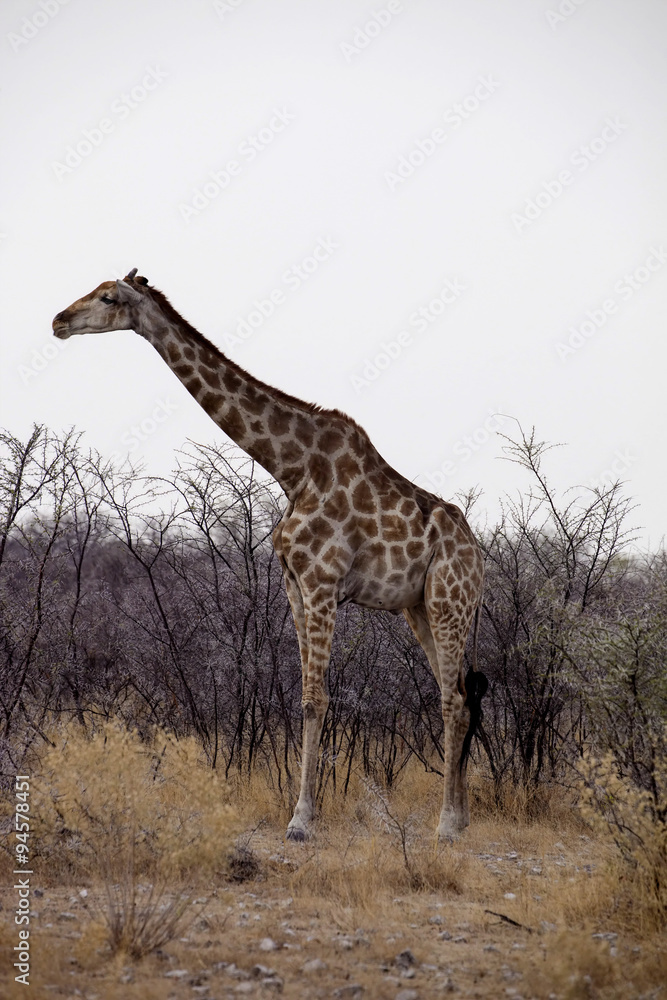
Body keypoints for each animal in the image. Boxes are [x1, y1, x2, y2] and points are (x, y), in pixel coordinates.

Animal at [53, 269, 486, 841]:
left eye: (108, 298)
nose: (58, 321)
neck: (292, 468)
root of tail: (479, 557)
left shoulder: (322, 583)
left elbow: (315, 699)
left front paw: (301, 820)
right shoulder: (295, 587)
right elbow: (303, 697)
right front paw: (304, 812)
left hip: (448, 603)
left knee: (452, 698)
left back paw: (447, 825)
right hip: (419, 609)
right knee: (457, 694)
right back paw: (459, 817)